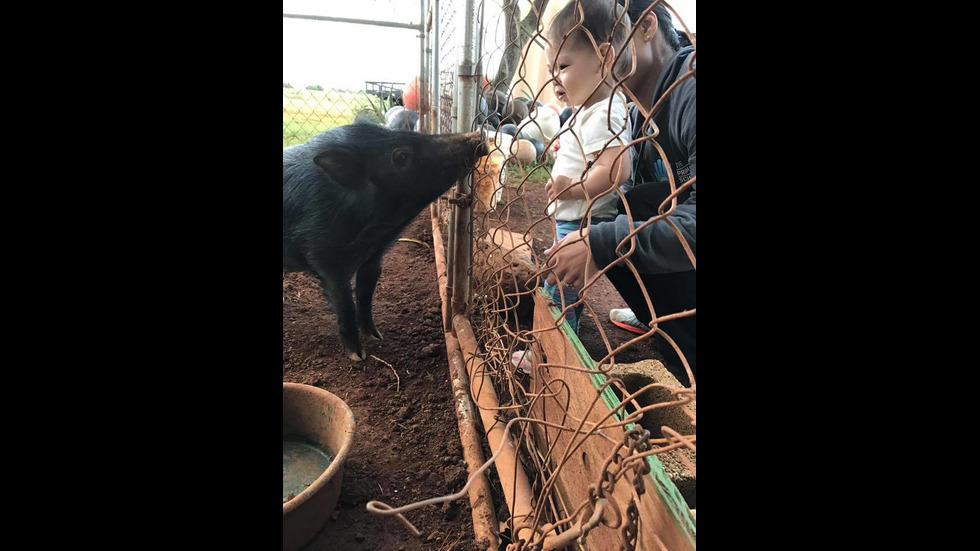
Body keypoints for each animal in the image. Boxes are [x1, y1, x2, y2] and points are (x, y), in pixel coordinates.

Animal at [282, 123, 488, 360]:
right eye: (401, 156)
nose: (478, 134)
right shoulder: (326, 260)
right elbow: (345, 304)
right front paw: (358, 356)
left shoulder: (374, 257)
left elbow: (365, 295)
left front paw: (376, 336)